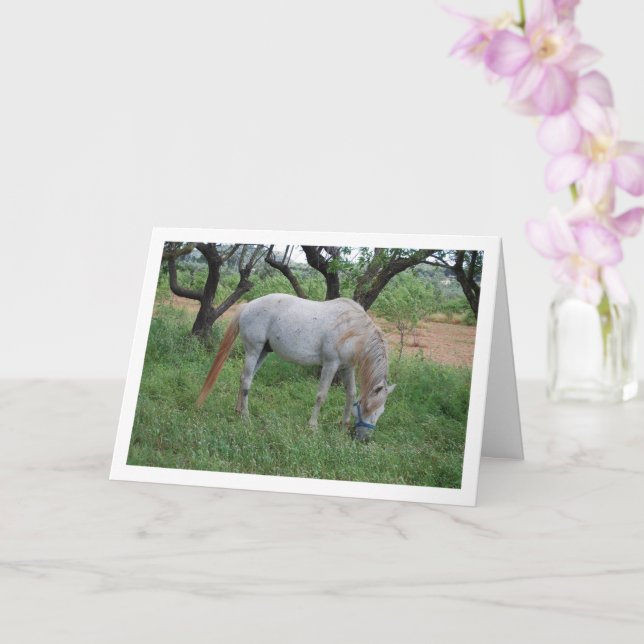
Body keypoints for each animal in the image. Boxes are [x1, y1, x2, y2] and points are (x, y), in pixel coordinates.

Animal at [196, 293, 395, 441]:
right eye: (368, 407)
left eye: (381, 411)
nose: (364, 439)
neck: (352, 329)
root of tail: (248, 306)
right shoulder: (331, 364)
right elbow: (321, 396)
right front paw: (312, 427)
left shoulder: (347, 368)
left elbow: (351, 394)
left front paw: (344, 426)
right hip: (254, 349)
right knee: (246, 380)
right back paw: (245, 416)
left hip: (263, 352)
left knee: (246, 377)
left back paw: (238, 411)